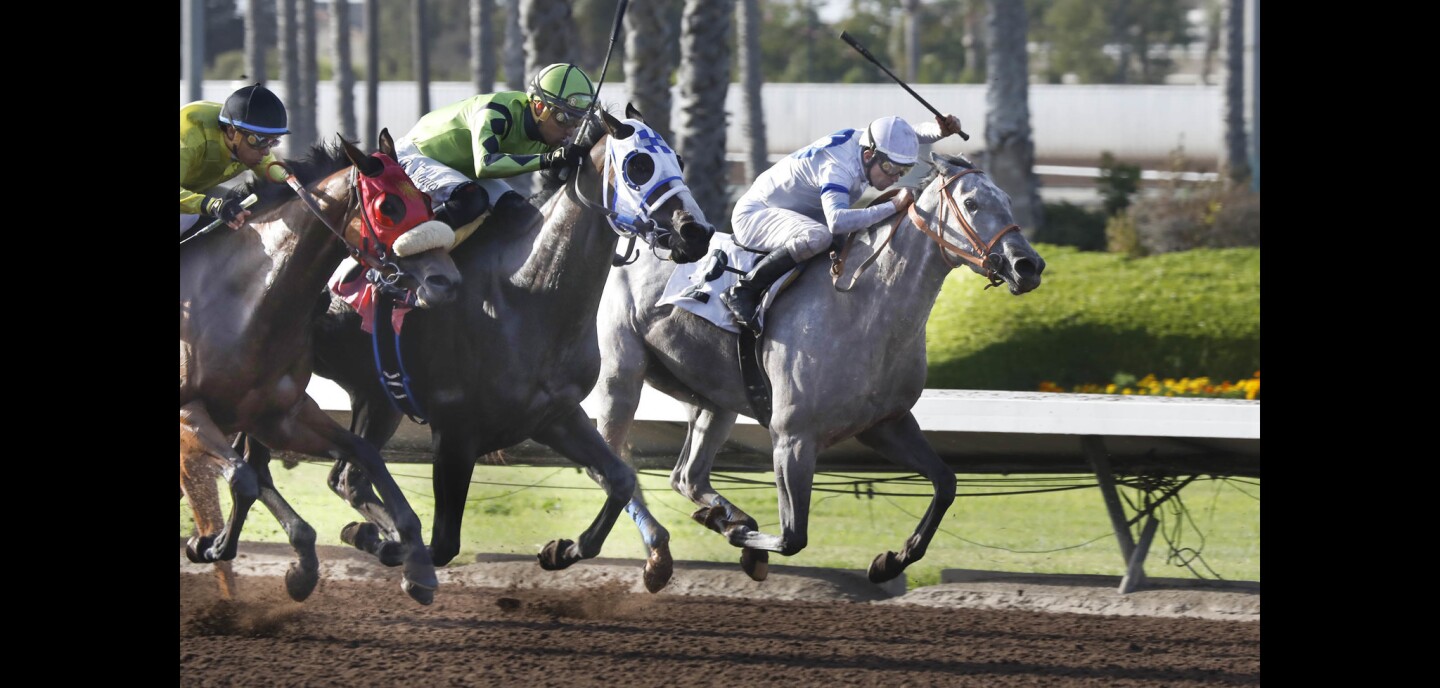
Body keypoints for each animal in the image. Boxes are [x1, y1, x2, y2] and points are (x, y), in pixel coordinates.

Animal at [180, 128, 460, 601]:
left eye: (425, 198)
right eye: (388, 206)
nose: (447, 281)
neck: (240, 302)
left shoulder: (279, 416)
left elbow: (364, 454)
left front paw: (414, 564)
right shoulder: (189, 413)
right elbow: (243, 478)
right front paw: (218, 545)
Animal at [593, 154, 1048, 587]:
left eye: (1007, 200)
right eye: (971, 203)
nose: (1028, 265)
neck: (864, 308)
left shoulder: (886, 424)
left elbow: (946, 483)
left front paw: (890, 561)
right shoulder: (793, 437)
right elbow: (793, 536)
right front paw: (742, 539)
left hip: (711, 398)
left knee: (687, 477)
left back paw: (717, 518)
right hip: (621, 375)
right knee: (615, 462)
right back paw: (659, 555)